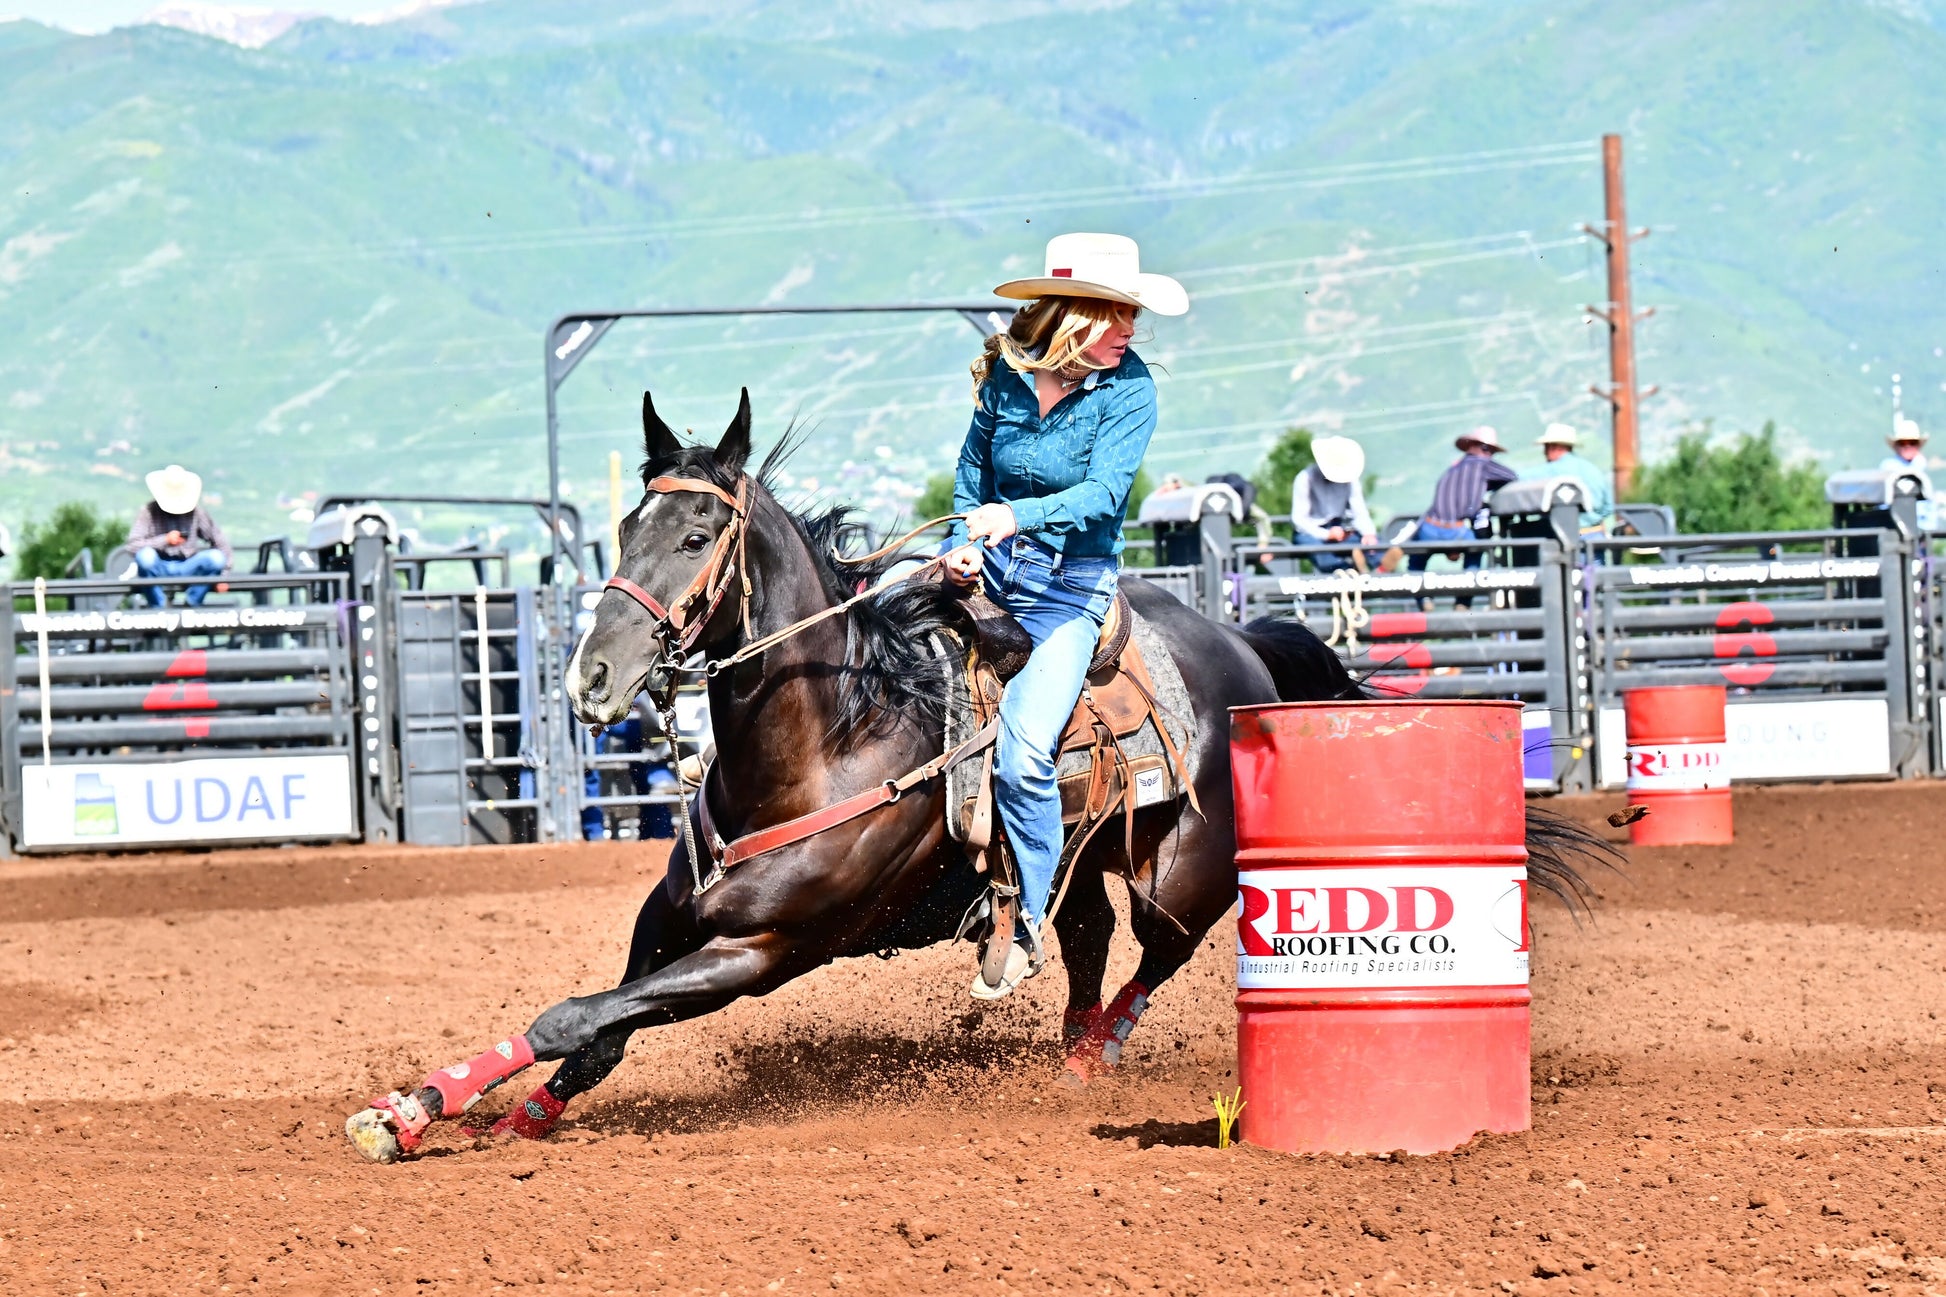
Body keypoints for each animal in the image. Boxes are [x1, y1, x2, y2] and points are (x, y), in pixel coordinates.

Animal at [344, 389, 1609, 1162]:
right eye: (622, 528)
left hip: (1184, 873)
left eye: (699, 538)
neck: (825, 741)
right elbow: (598, 1023)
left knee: (1152, 957)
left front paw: (413, 1109)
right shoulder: (670, 923)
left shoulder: (762, 952)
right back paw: (1059, 1048)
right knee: (1084, 941)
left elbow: (572, 1012)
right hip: (1080, 857)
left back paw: (1085, 1069)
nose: (594, 676)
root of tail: (1239, 641)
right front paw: (469, 1111)